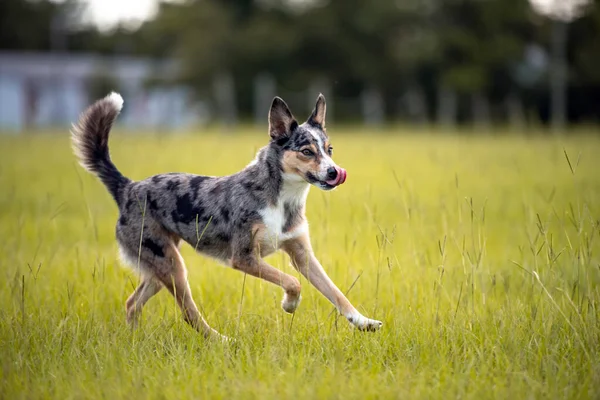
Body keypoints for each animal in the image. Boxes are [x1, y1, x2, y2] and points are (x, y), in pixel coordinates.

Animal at [72, 92, 382, 340]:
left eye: (329, 150)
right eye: (307, 152)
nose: (334, 172)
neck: (281, 199)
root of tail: (128, 188)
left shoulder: (302, 255)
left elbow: (336, 293)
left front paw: (363, 322)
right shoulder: (244, 258)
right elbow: (292, 282)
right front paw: (289, 305)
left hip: (160, 266)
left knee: (132, 303)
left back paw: (135, 340)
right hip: (172, 266)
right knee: (189, 314)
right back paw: (221, 341)